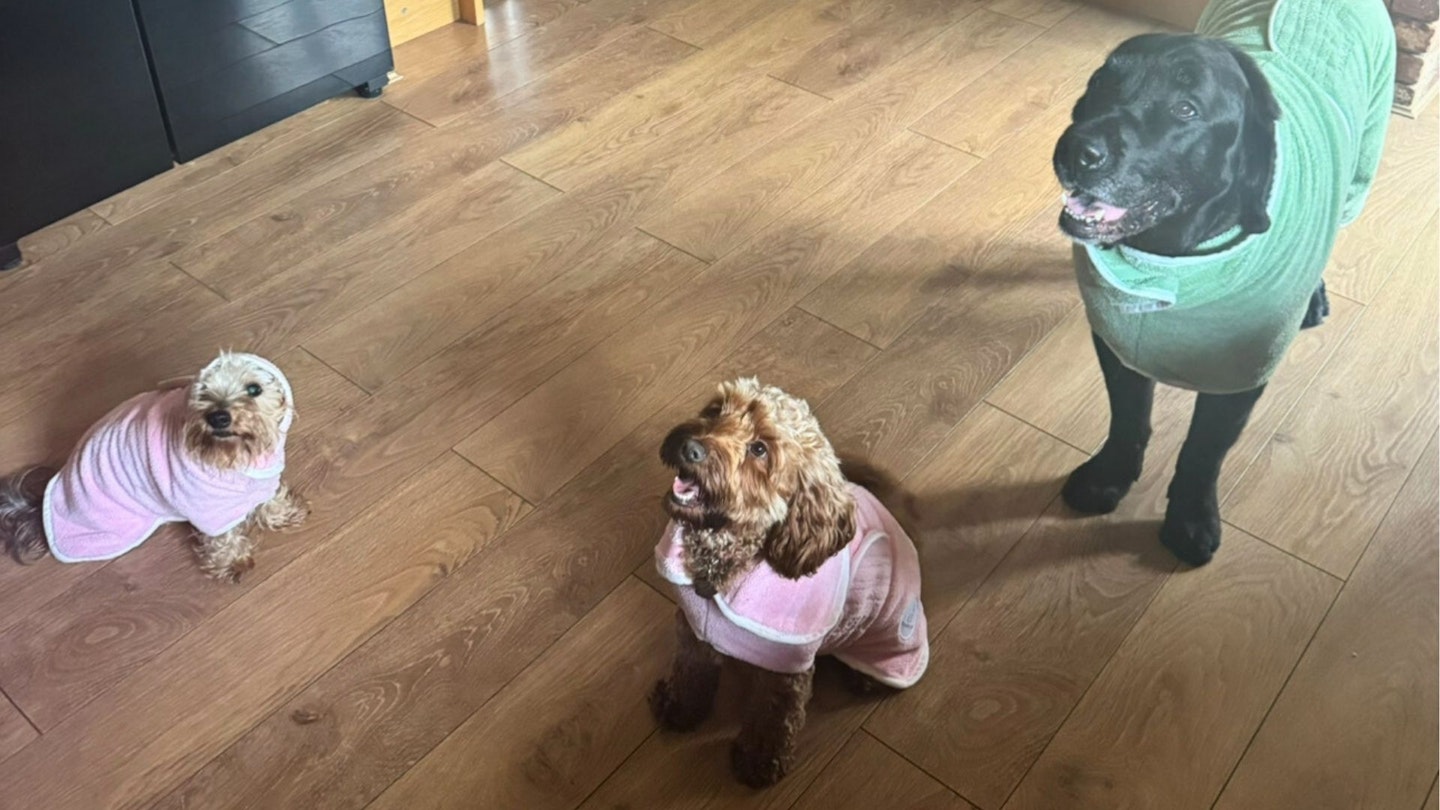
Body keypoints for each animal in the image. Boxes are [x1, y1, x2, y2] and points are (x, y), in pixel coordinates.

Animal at [0, 350, 303, 576]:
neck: (236, 455)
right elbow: (222, 536)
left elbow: (268, 498)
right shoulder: (209, 506)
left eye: (254, 389)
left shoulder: (260, 479)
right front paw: (233, 561)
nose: (218, 417)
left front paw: (283, 512)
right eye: (203, 392)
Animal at [650, 377, 927, 784]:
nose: (689, 447)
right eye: (715, 410)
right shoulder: (693, 631)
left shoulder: (785, 669)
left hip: (889, 635)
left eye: (759, 449)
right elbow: (690, 672)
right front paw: (679, 707)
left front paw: (759, 761)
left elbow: (773, 716)